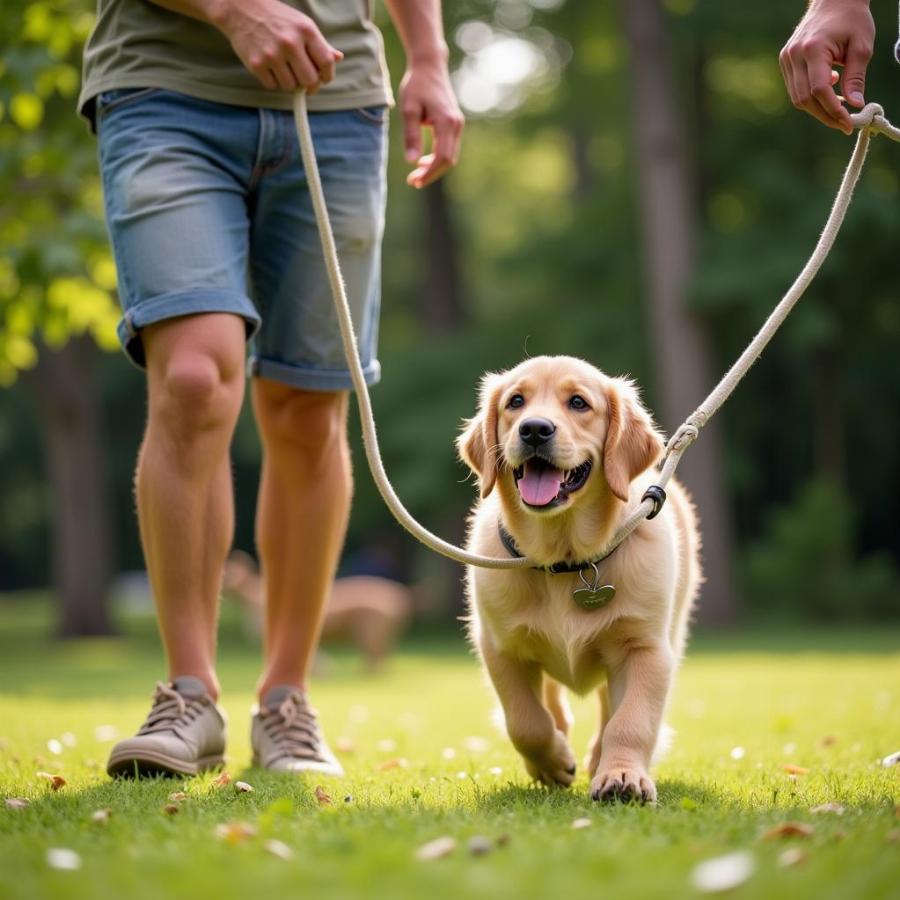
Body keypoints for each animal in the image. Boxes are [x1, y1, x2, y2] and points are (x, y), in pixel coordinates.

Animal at [458, 356, 704, 804]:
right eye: (515, 401)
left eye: (578, 403)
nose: (534, 429)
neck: (565, 560)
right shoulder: (500, 646)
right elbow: (526, 720)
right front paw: (553, 761)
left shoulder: (646, 648)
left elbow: (631, 721)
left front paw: (622, 775)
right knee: (550, 703)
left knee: (609, 709)